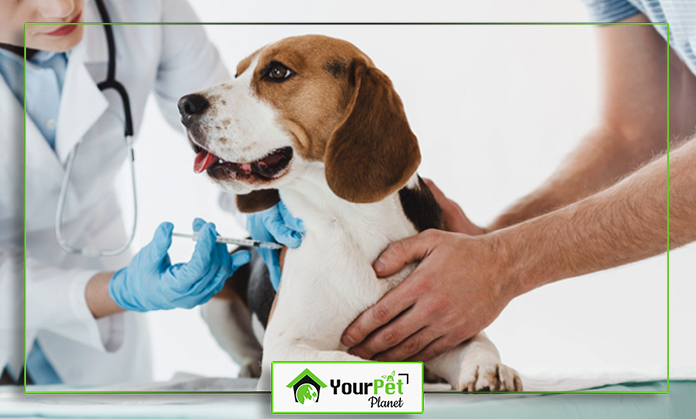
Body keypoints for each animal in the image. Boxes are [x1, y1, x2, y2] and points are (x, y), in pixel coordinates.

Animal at [179, 34, 520, 392]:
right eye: (236, 73)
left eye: (277, 71)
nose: (184, 105)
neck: (353, 225)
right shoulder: (285, 348)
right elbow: (353, 361)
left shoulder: (441, 323)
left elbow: (479, 343)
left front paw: (488, 368)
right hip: (216, 299)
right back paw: (246, 367)